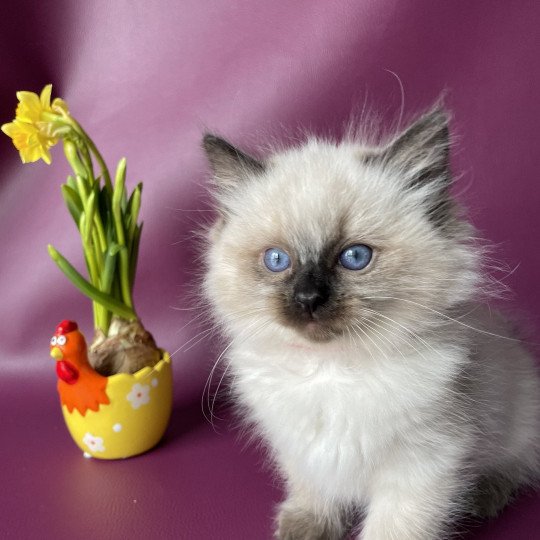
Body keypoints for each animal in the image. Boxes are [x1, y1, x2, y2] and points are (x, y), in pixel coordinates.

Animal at [200, 106, 536, 540]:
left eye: (355, 257)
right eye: (277, 260)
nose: (308, 299)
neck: (331, 371)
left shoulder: (422, 466)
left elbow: (391, 529)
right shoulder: (300, 448)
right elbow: (312, 489)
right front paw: (308, 526)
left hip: (519, 423)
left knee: (516, 464)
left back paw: (484, 497)